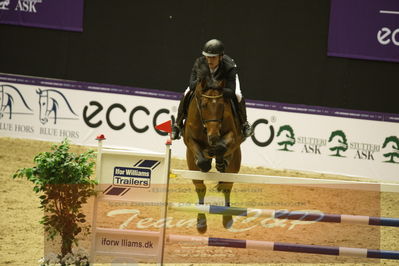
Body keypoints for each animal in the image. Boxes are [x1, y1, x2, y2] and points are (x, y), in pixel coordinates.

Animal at [181, 64, 244, 233]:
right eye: (203, 105)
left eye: (222, 105)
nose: (213, 136)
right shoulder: (189, 140)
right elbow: (202, 161)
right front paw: (207, 160)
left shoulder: (232, 136)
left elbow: (222, 147)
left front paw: (219, 158)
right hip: (191, 162)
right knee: (200, 187)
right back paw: (201, 223)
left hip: (236, 162)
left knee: (228, 186)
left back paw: (227, 219)